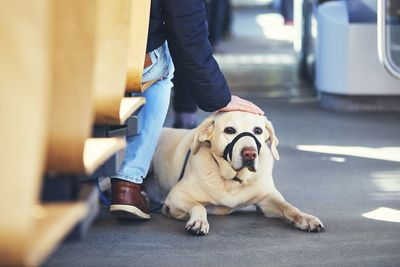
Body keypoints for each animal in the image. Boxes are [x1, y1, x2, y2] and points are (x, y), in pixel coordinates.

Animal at [145, 111, 324, 237]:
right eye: (229, 130)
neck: (233, 180)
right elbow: (198, 205)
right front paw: (198, 222)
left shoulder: (267, 200)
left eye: (258, 130)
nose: (250, 154)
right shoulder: (175, 197)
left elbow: (288, 207)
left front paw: (306, 218)